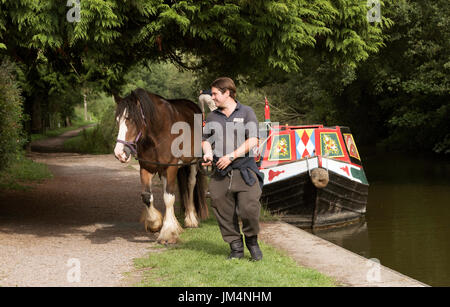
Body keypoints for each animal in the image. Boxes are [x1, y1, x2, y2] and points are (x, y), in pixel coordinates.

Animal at [114, 88, 209, 244]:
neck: (157, 134)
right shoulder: (146, 168)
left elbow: (169, 198)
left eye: (132, 119)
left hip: (193, 163)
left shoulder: (170, 167)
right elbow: (147, 196)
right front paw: (156, 224)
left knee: (190, 185)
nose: (119, 153)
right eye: (118, 121)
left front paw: (168, 233)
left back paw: (191, 219)